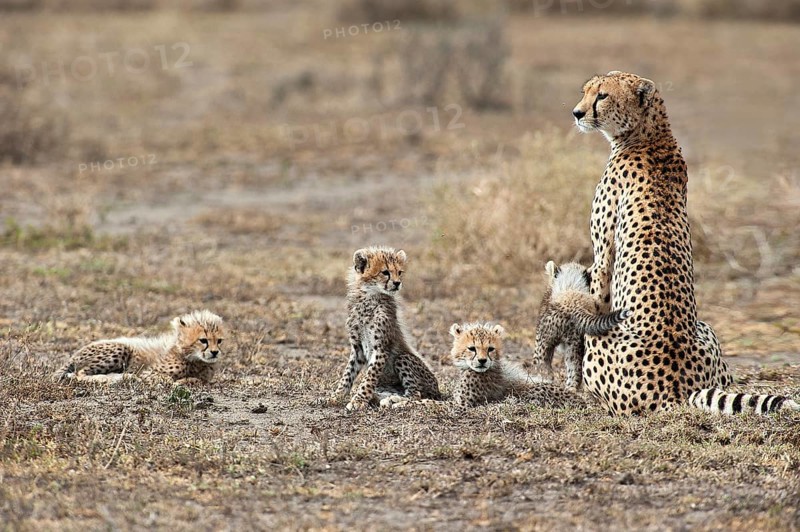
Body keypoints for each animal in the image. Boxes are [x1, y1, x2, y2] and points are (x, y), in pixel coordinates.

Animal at [53, 310, 224, 386]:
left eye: (219, 341)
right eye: (203, 340)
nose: (215, 352)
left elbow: (199, 380)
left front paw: (187, 380)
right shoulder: (149, 373)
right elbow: (168, 379)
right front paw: (180, 381)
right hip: (121, 349)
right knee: (80, 374)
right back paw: (121, 377)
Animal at [330, 246, 441, 411]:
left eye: (399, 272)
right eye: (385, 272)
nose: (397, 283)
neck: (370, 297)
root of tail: (438, 390)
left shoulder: (380, 349)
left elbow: (369, 378)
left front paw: (358, 400)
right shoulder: (357, 348)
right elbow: (348, 373)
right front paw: (336, 396)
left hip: (403, 358)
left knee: (416, 394)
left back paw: (394, 401)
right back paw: (381, 397)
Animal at [532, 260, 631, 391]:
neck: (571, 286)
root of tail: (573, 305)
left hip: (544, 341)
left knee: (541, 366)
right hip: (574, 345)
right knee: (575, 372)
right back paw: (570, 390)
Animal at [572, 70, 798, 415]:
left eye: (602, 96)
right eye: (586, 91)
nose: (577, 113)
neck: (650, 134)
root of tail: (675, 390)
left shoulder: (601, 255)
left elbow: (596, 296)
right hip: (706, 329)